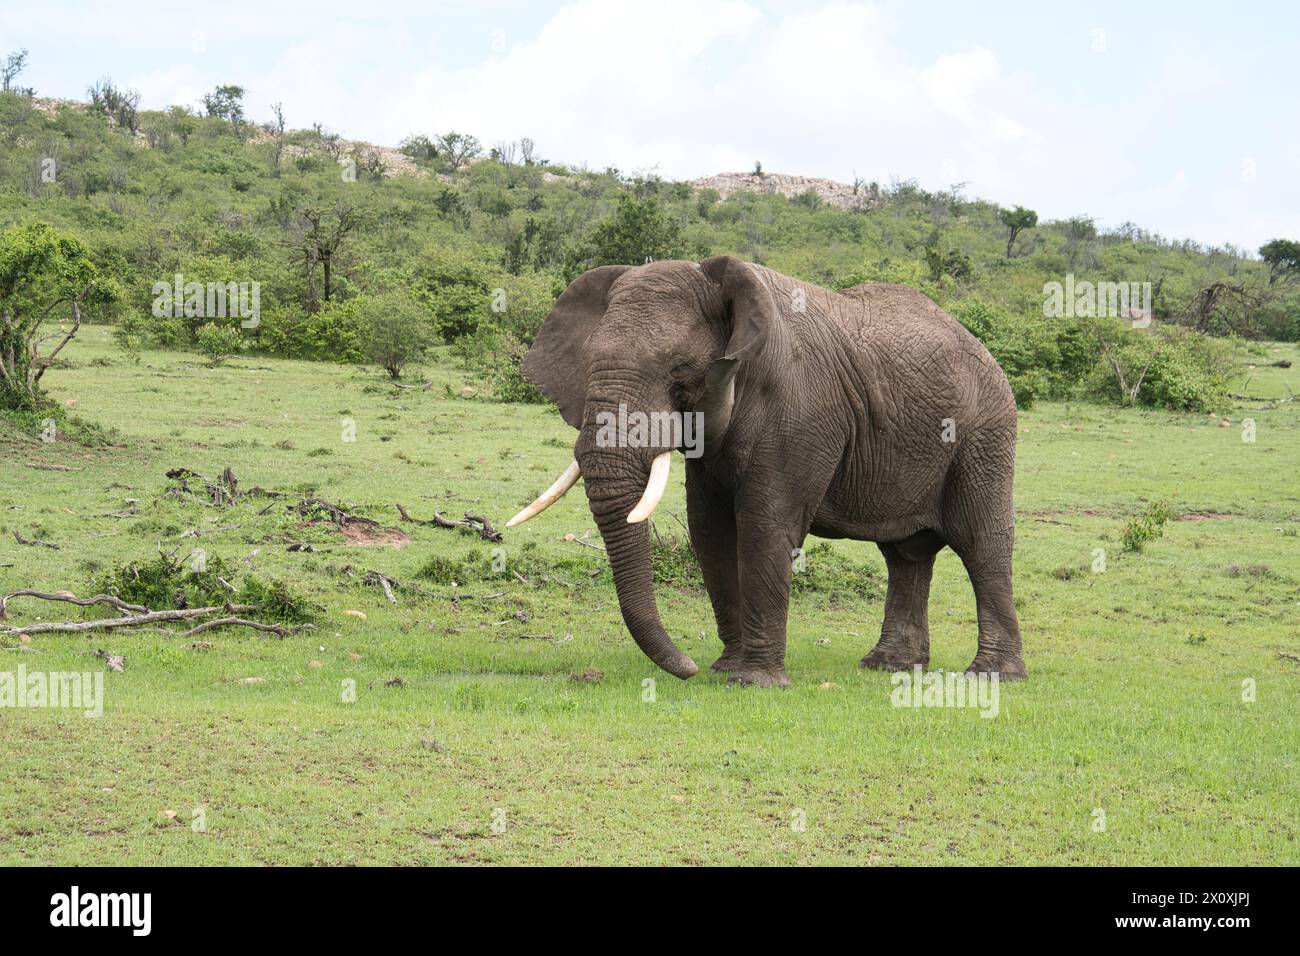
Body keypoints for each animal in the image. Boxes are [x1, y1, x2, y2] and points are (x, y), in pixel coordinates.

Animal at [506, 256, 1024, 687]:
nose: (688, 669)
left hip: (985, 434)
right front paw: (725, 669)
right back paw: (889, 666)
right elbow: (710, 531)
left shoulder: (800, 411)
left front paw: (751, 681)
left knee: (979, 541)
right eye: (589, 364)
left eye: (680, 371)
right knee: (905, 554)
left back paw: (992, 676)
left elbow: (764, 526)